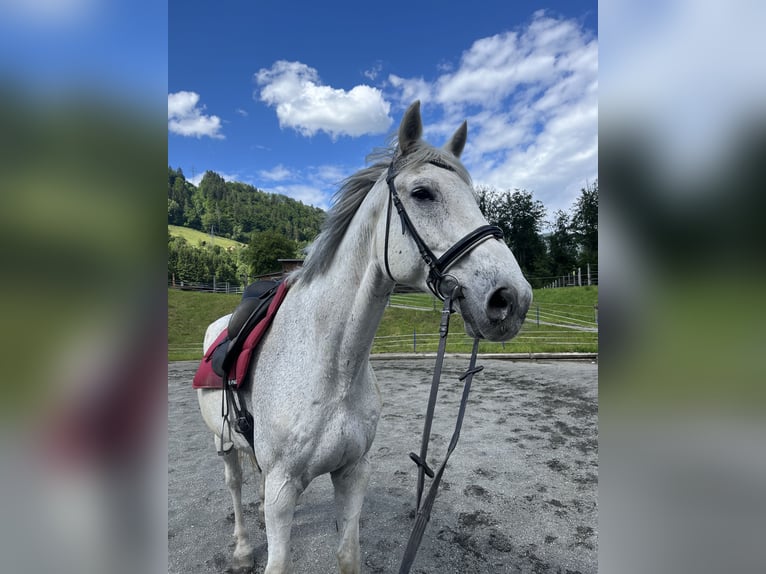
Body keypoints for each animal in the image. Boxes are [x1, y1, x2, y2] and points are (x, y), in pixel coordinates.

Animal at [196, 101, 532, 573]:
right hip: (223, 443)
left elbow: (348, 553)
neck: (331, 364)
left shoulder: (353, 473)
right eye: (423, 193)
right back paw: (243, 547)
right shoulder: (283, 487)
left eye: (475, 198)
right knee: (235, 485)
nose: (511, 299)